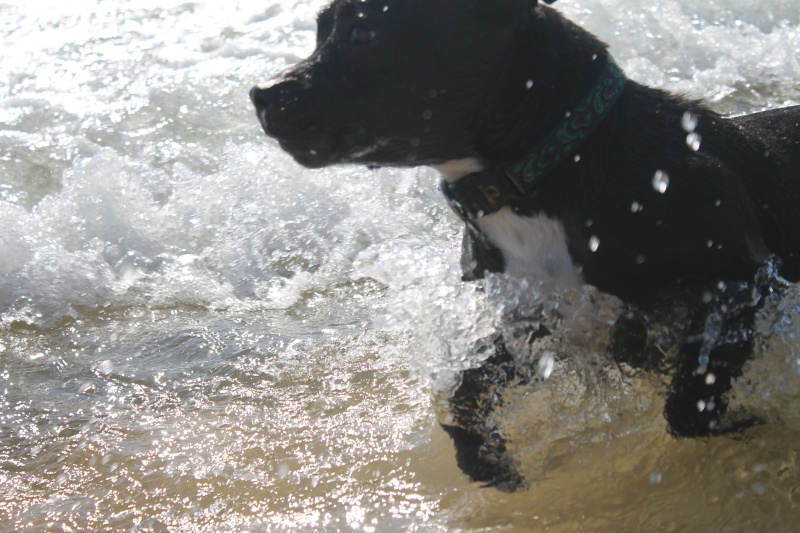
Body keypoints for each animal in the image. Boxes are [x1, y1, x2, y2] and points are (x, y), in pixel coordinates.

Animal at [252, 0, 800, 488]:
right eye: (319, 32)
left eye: (361, 32)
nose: (262, 92)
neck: (545, 173)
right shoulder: (535, 323)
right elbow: (466, 390)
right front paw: (488, 461)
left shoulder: (738, 282)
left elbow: (689, 405)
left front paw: (750, 421)